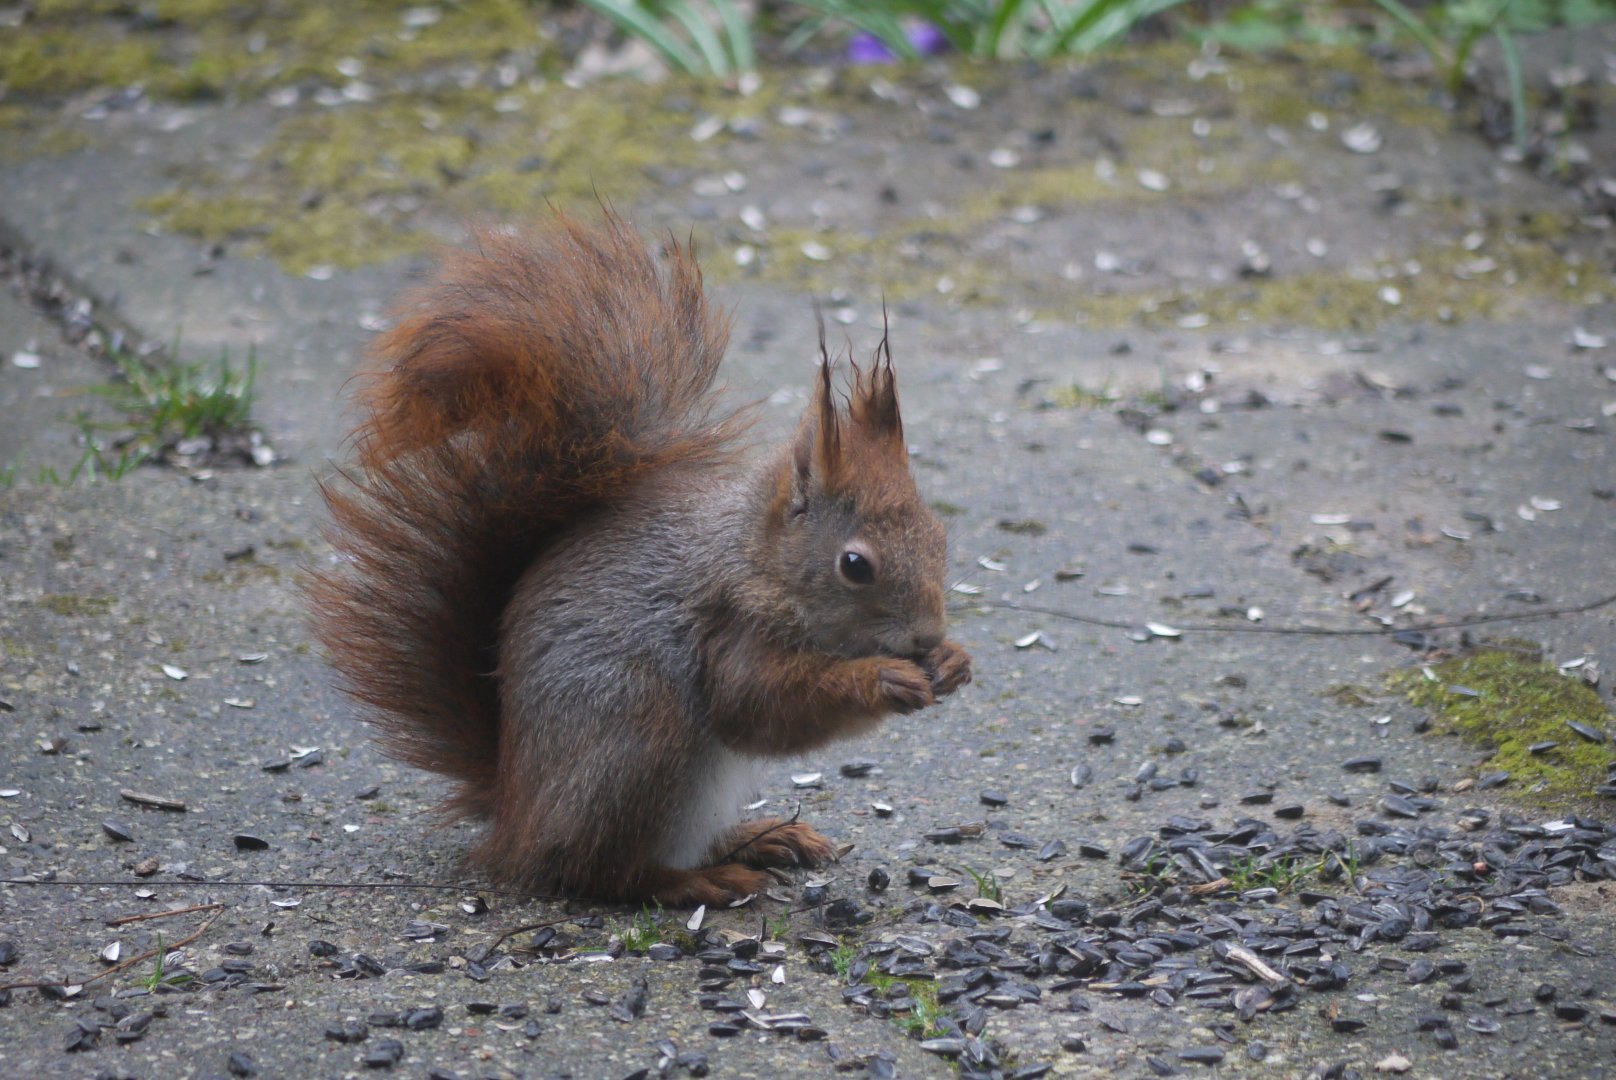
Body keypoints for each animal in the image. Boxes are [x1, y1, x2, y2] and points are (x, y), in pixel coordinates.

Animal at [309, 212, 971, 906]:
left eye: (939, 536)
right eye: (855, 566)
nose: (927, 637)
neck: (759, 562)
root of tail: (514, 815)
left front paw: (954, 662)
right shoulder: (729, 628)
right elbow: (755, 706)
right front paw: (884, 677)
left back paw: (761, 838)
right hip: (638, 737)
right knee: (598, 870)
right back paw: (701, 879)